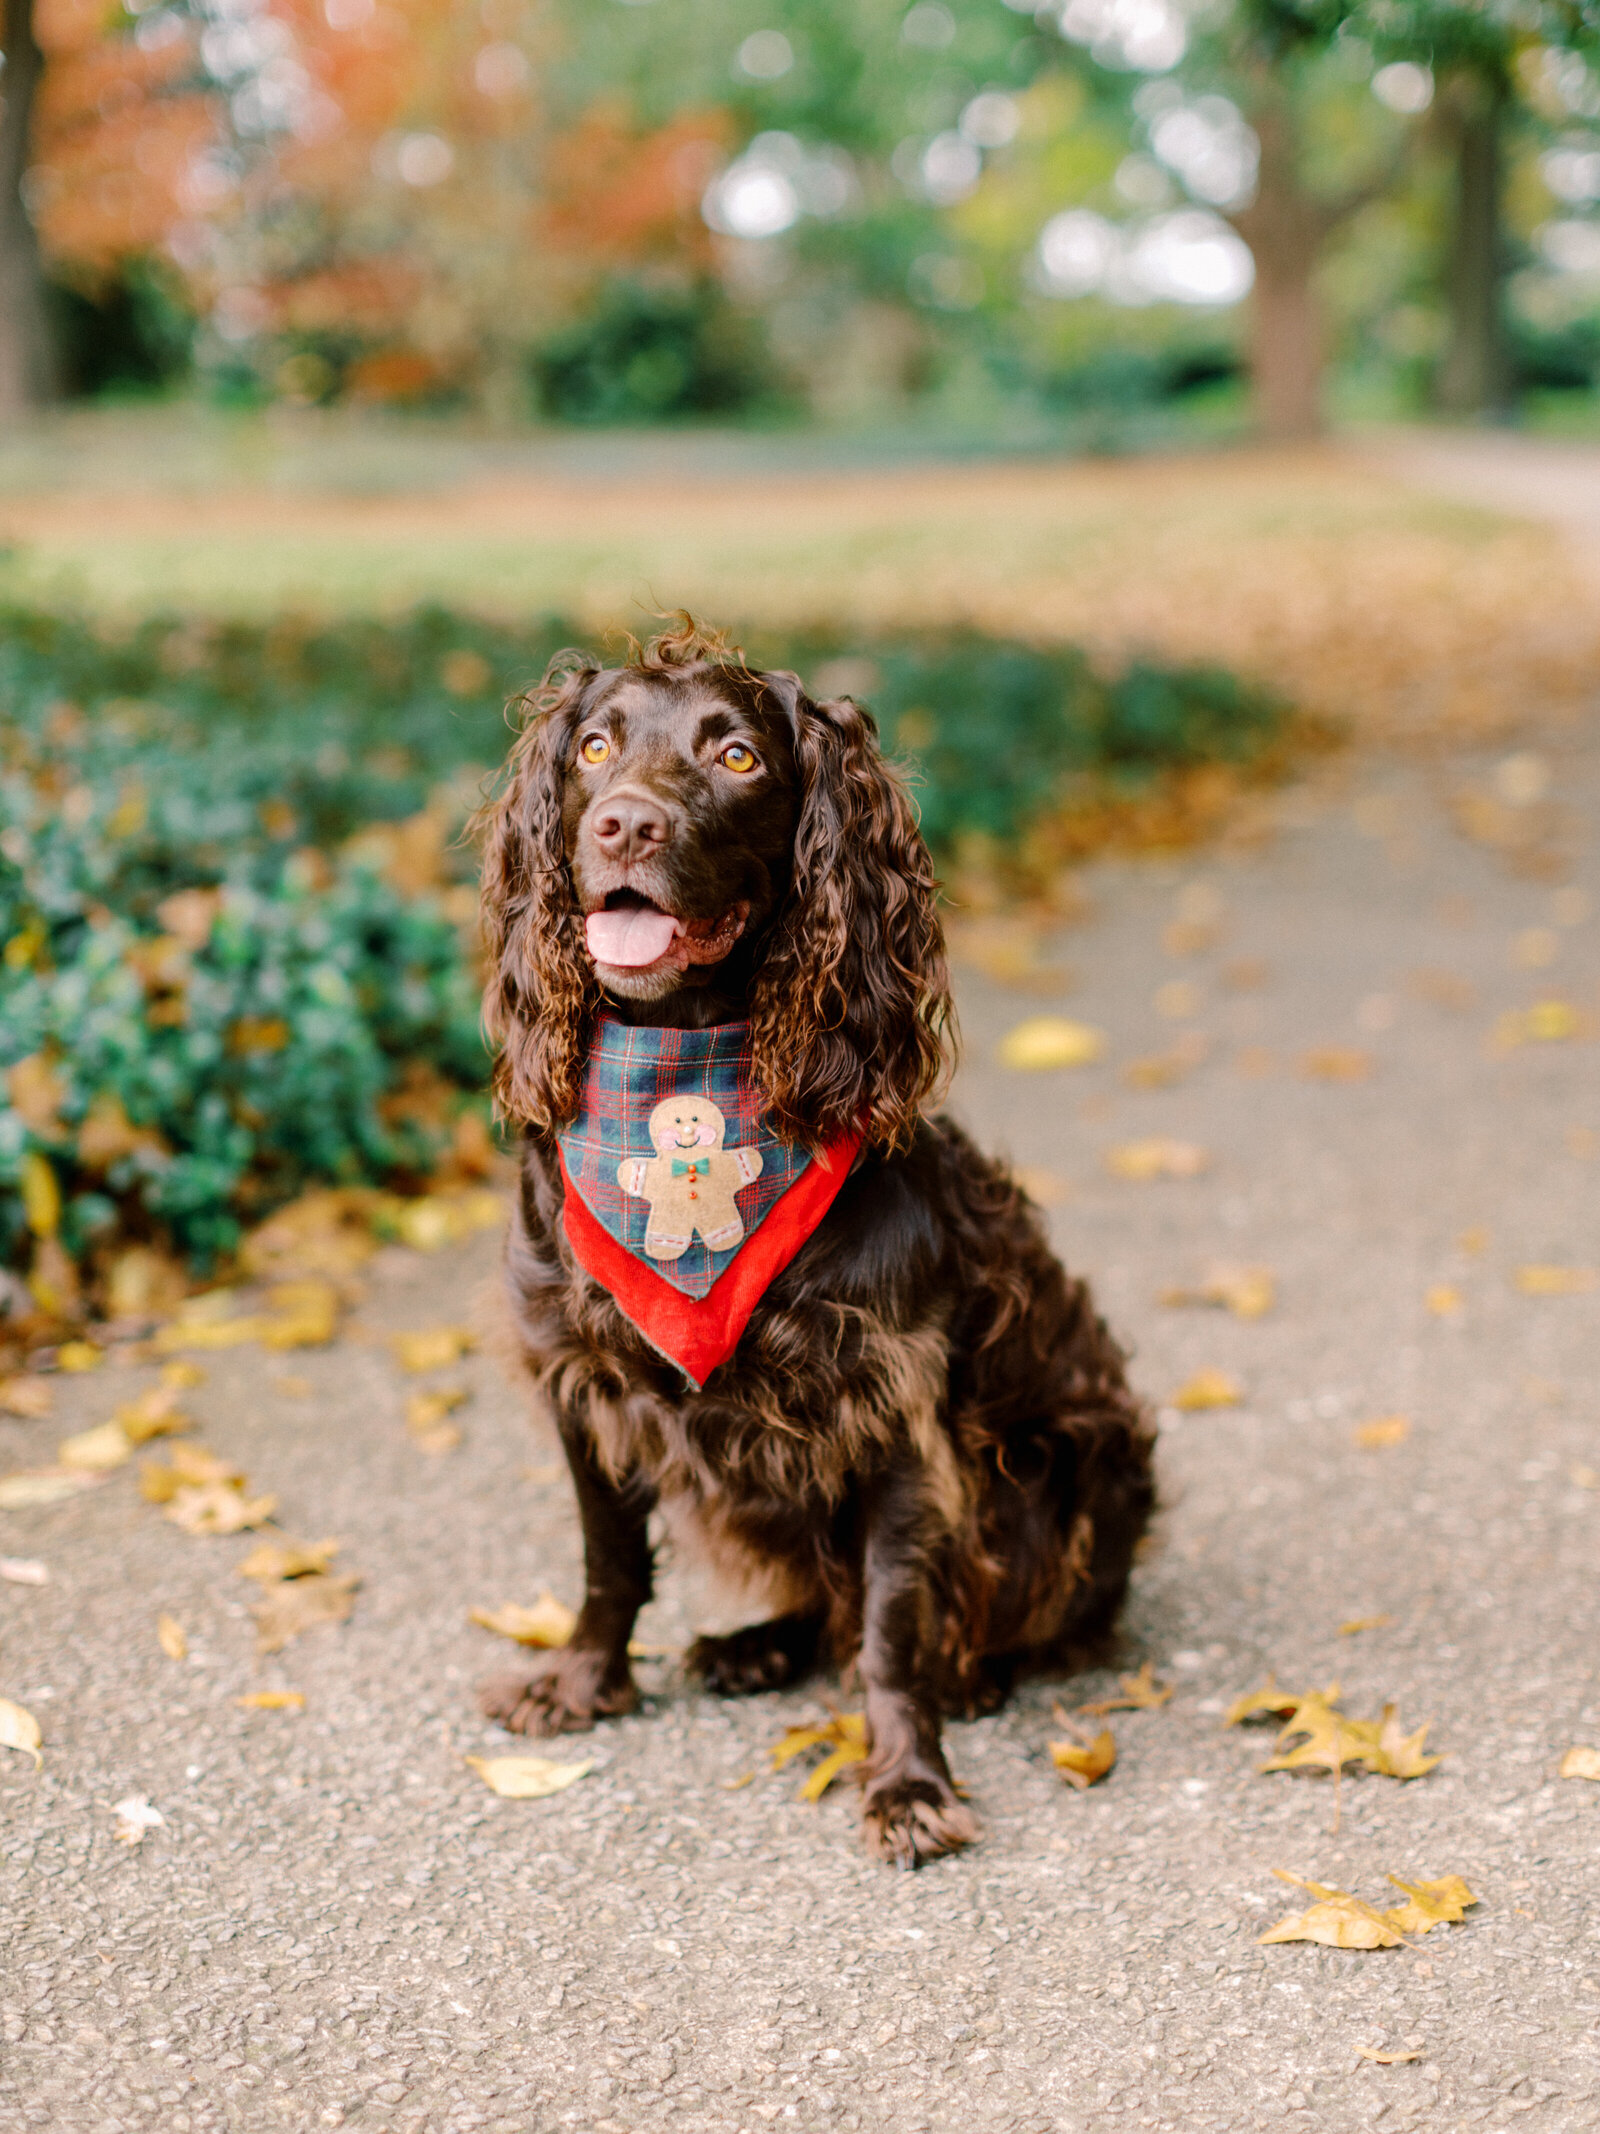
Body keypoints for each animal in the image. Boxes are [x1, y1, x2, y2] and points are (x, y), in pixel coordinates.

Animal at [473, 623, 1152, 1869]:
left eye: (736, 756)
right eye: (593, 747)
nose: (624, 824)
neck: (682, 1075)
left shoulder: (891, 1408)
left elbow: (891, 1625)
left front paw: (906, 1780)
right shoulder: (581, 1376)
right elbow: (608, 1561)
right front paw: (583, 1682)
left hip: (1076, 1461)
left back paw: (967, 1674)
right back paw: (755, 1642)